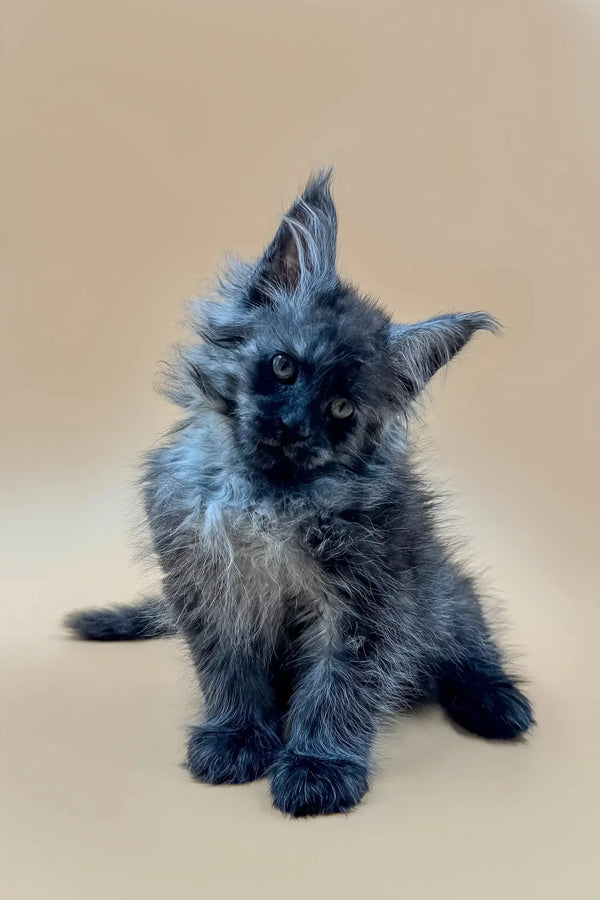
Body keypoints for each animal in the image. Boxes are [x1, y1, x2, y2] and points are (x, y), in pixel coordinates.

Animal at [67, 172, 536, 820]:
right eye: (284, 367)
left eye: (340, 408)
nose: (292, 425)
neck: (266, 497)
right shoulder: (210, 584)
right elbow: (230, 672)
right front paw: (237, 737)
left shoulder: (368, 598)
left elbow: (339, 687)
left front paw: (320, 766)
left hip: (443, 593)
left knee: (472, 646)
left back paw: (496, 702)